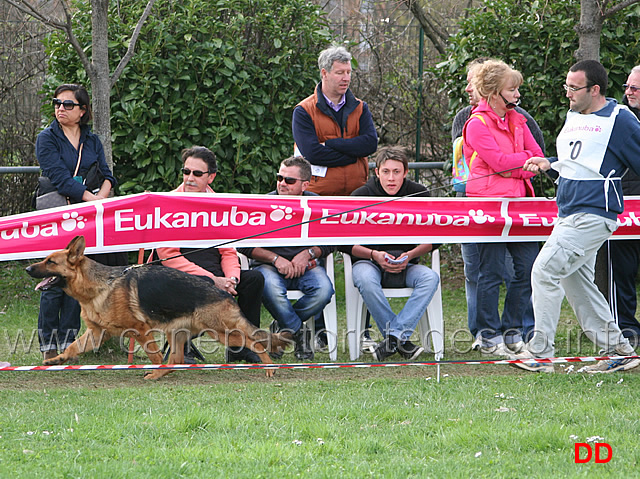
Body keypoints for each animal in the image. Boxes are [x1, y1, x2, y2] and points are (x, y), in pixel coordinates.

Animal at [25, 236, 290, 378]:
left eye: (51, 262)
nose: (27, 268)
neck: (97, 287)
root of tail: (224, 293)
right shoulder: (96, 333)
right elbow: (72, 347)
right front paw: (56, 360)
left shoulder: (140, 331)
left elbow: (153, 355)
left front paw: (152, 368)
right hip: (178, 333)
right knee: (177, 358)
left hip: (221, 333)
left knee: (254, 342)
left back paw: (268, 367)